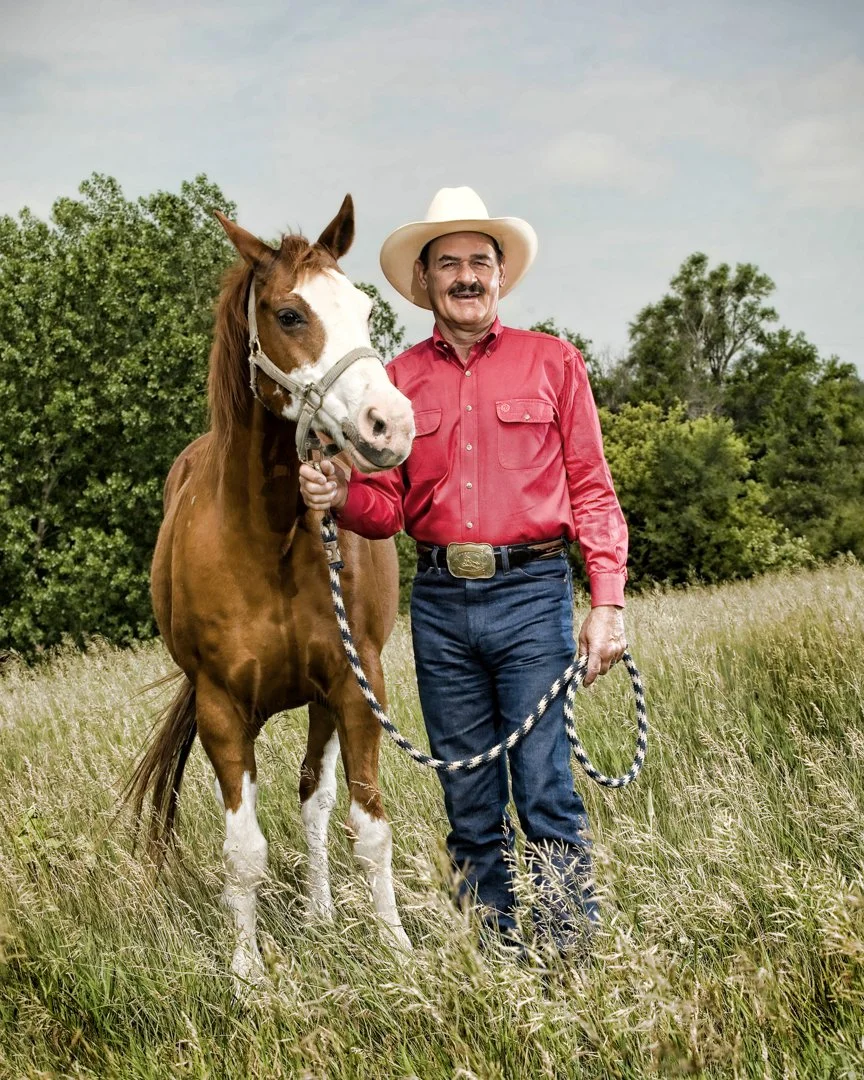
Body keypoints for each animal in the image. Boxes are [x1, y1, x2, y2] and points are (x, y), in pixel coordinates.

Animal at [126, 196, 415, 984]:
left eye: (363, 306)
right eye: (289, 314)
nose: (392, 425)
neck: (268, 531)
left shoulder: (356, 685)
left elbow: (366, 826)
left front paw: (397, 949)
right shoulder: (223, 710)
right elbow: (243, 852)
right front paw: (247, 970)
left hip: (322, 700)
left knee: (315, 801)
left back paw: (320, 913)